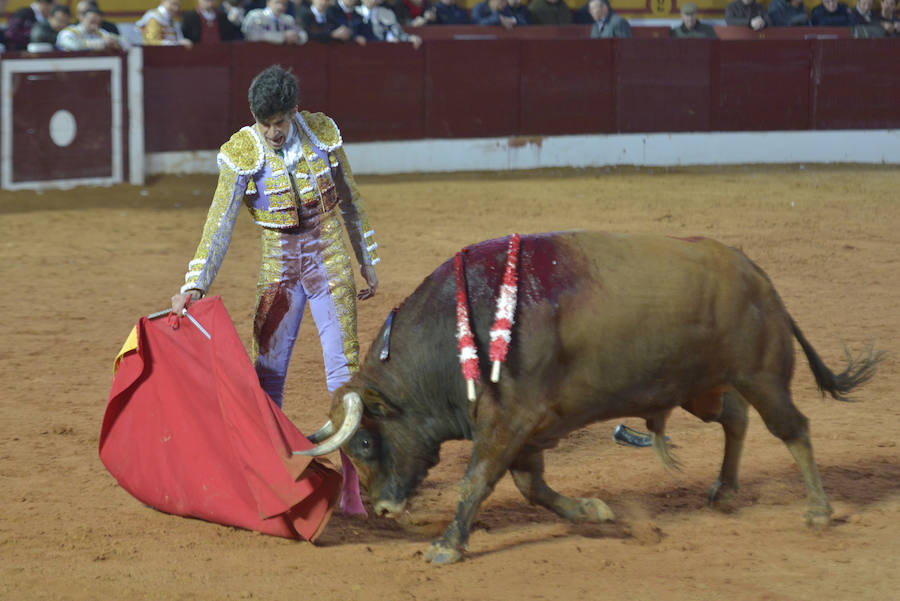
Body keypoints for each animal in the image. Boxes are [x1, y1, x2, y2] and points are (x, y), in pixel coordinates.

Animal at [298, 230, 884, 564]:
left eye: (365, 444)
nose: (381, 507)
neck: (460, 329)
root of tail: (756, 272)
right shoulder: (525, 428)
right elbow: (532, 486)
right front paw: (592, 510)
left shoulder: (509, 420)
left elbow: (477, 480)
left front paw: (445, 546)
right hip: (702, 387)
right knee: (735, 417)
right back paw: (725, 492)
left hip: (762, 374)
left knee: (794, 429)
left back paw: (818, 510)